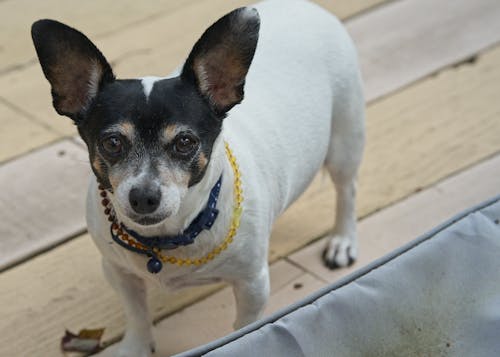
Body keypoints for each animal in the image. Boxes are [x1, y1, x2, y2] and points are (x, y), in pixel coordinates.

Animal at [32, 0, 364, 354]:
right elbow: (137, 315)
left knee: (347, 190)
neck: (168, 239)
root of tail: (304, 6)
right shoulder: (120, 274)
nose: (144, 196)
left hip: (345, 142)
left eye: (185, 142)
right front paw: (136, 346)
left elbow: (244, 328)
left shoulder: (252, 285)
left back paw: (342, 240)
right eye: (112, 143)